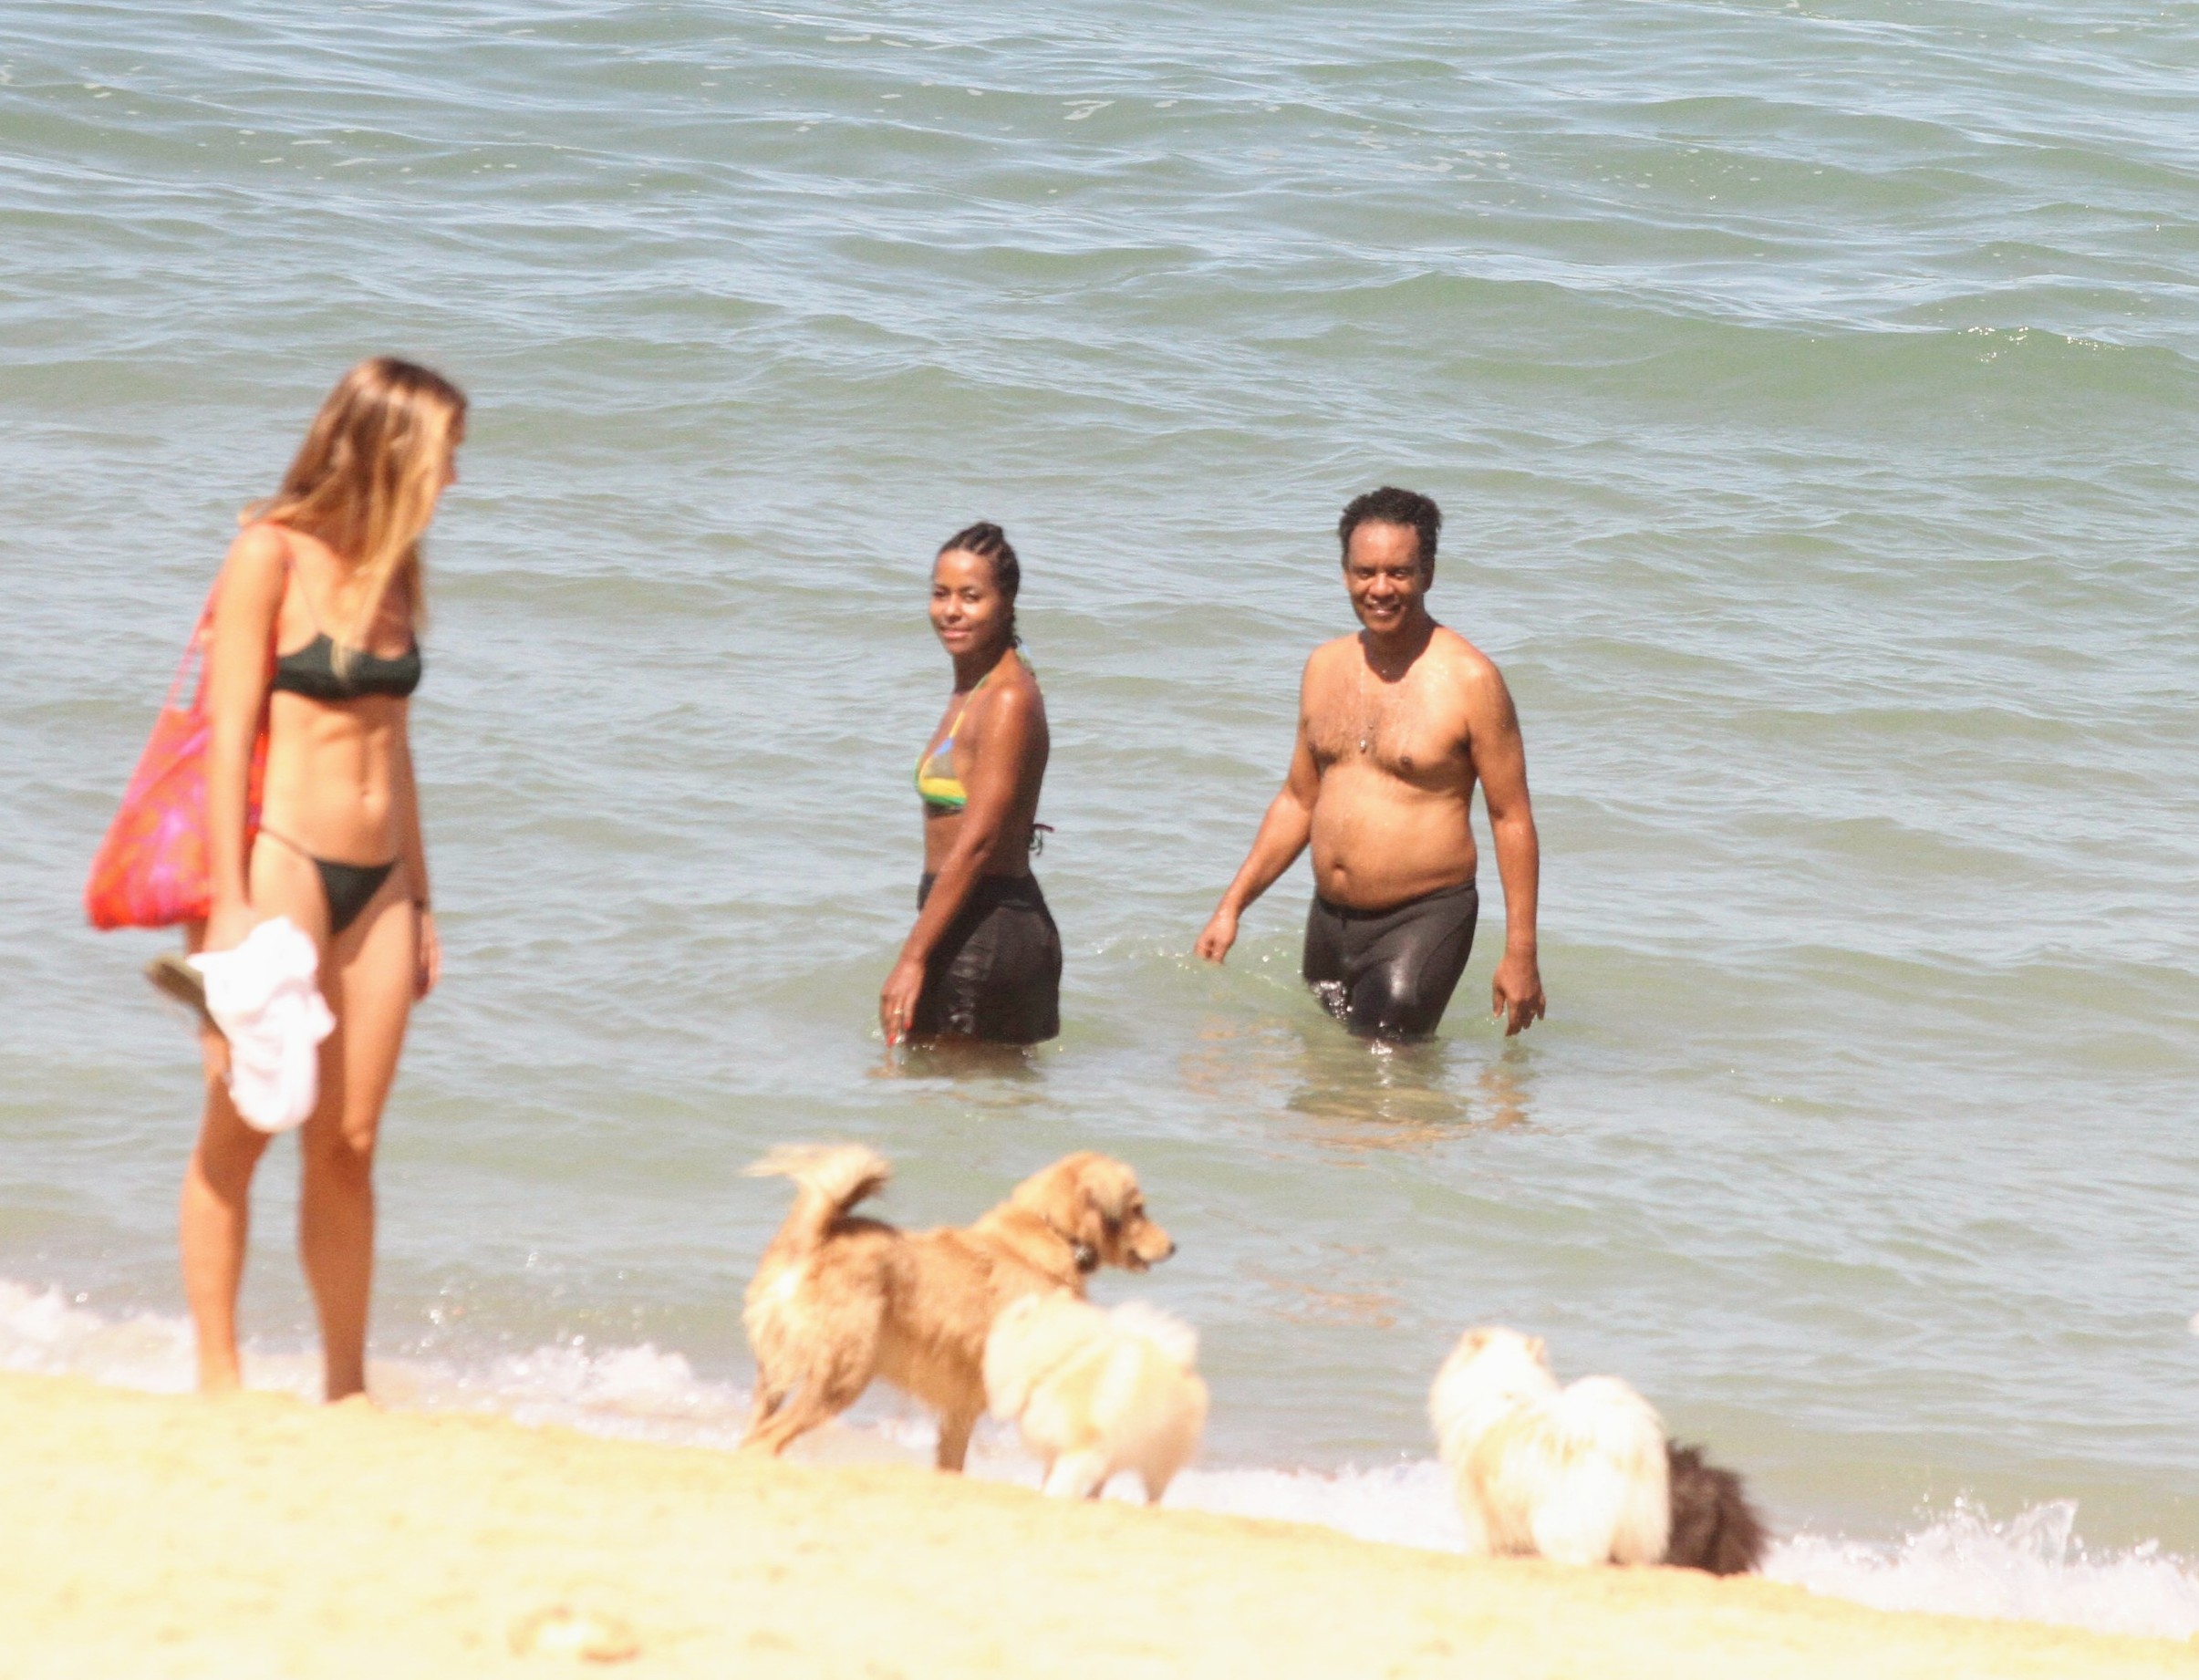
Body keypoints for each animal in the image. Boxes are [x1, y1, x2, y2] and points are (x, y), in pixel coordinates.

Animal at [739, 1143, 1178, 1468]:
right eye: (1138, 1209)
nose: (1174, 1246)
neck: (1053, 1234)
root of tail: (817, 1236)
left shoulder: (958, 1409)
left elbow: (951, 1465)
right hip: (841, 1378)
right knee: (764, 1442)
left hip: (774, 1377)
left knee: (752, 1436)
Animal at [989, 1292, 1213, 1504]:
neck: (1056, 1363)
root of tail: (1185, 1369)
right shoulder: (1053, 1447)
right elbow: (1050, 1476)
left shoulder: (1079, 1447)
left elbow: (1061, 1480)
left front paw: (1052, 1495)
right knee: (1103, 1479)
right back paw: (1091, 1498)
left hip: (1158, 1457)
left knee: (1154, 1491)